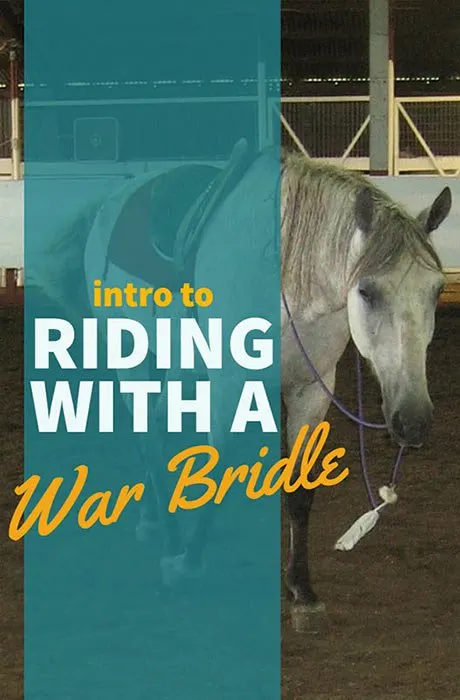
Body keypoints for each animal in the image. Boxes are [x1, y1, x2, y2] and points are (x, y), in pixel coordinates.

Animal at [32, 145, 452, 632]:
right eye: (366, 291)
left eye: (436, 290)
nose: (413, 421)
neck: (287, 279)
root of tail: (114, 201)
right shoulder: (229, 386)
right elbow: (215, 472)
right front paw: (188, 564)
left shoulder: (311, 391)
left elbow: (300, 491)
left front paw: (302, 590)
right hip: (129, 353)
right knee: (148, 436)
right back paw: (167, 535)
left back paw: (153, 519)